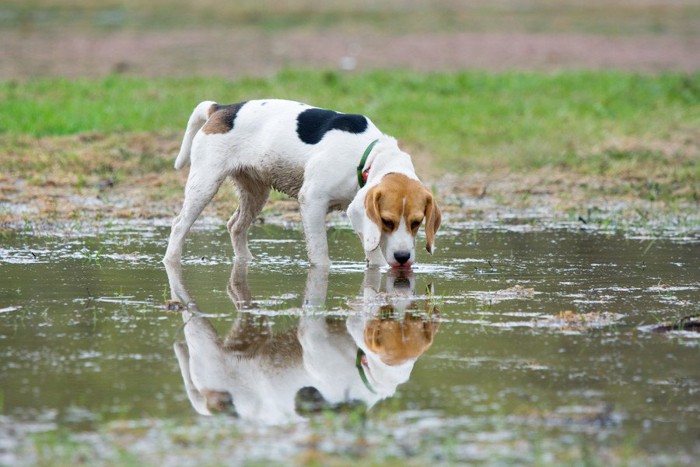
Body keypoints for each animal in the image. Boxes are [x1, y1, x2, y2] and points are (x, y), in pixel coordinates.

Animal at [164, 98, 440, 266]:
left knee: (235, 227)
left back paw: (246, 261)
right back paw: (171, 261)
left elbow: (374, 251)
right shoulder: (313, 202)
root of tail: (221, 108)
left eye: (417, 223)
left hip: (255, 192)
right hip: (205, 184)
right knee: (179, 226)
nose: (403, 257)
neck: (369, 155)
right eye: (387, 221)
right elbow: (320, 253)